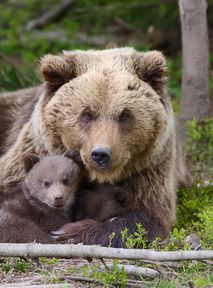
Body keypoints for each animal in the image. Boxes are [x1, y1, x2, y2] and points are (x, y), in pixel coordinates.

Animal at [0, 48, 187, 246]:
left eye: (125, 115)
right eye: (87, 114)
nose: (101, 154)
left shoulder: (149, 171)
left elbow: (147, 217)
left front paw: (72, 232)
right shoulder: (32, 153)